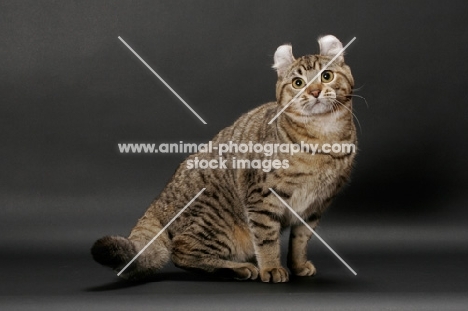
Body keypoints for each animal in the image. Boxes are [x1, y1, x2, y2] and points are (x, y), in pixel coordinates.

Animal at [90, 35, 354, 284]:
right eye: (298, 83)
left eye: (327, 76)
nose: (315, 91)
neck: (324, 137)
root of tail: (158, 201)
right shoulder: (262, 198)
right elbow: (267, 240)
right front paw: (271, 268)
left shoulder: (315, 207)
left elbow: (300, 241)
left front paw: (298, 266)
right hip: (220, 223)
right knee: (181, 251)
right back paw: (239, 269)